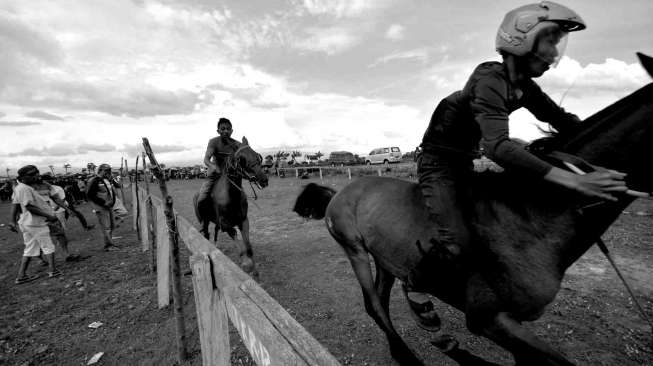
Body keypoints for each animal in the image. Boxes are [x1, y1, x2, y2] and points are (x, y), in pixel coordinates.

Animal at [192, 136, 268, 276]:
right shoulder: (226, 225)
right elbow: (240, 247)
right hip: (204, 220)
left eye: (257, 155)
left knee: (215, 232)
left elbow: (248, 247)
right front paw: (246, 264)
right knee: (206, 234)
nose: (263, 179)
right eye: (241, 159)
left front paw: (255, 271)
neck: (232, 197)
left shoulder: (244, 221)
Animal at [296, 52, 652, 366]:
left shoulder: (516, 324)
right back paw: (411, 353)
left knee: (381, 299)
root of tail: (340, 193)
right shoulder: (488, 319)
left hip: (384, 257)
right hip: (353, 248)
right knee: (373, 304)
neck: (529, 213)